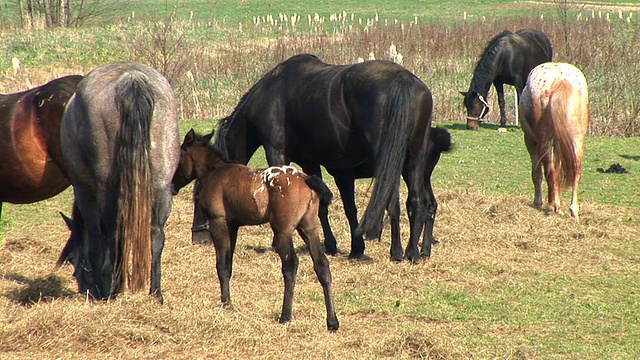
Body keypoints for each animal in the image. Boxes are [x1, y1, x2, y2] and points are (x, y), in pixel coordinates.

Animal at [56, 62, 180, 304]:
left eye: (73, 258)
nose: (84, 287)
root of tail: (131, 79)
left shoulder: (84, 192)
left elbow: (96, 241)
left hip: (106, 191)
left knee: (113, 234)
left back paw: (113, 290)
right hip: (161, 186)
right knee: (156, 235)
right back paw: (155, 293)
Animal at [170, 129, 340, 332]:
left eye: (180, 155)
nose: (172, 185)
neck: (215, 173)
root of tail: (305, 178)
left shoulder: (219, 223)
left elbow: (221, 264)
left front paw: (226, 302)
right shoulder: (233, 226)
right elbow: (229, 264)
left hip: (282, 231)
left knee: (290, 265)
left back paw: (285, 315)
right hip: (308, 227)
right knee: (322, 265)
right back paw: (332, 322)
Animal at [191, 53, 440, 262]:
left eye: (197, 197)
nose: (198, 239)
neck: (269, 93)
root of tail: (402, 78)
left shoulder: (276, 152)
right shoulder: (310, 162)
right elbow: (325, 206)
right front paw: (341, 246)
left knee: (394, 203)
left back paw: (398, 252)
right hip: (412, 160)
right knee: (416, 202)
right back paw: (413, 252)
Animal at [520, 62, 592, 219]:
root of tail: (560, 80)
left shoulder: (530, 142)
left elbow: (538, 173)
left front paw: (539, 202)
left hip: (544, 142)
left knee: (549, 171)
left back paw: (554, 206)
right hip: (577, 139)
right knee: (575, 170)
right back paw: (573, 210)